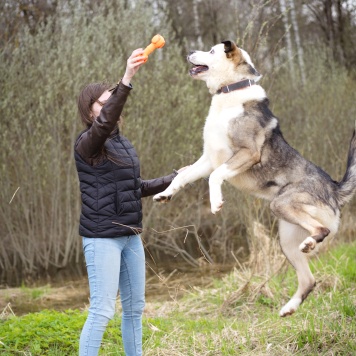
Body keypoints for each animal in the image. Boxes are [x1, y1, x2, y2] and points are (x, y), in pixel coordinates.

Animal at [154, 40, 356, 316]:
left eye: (211, 51)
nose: (189, 52)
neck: (229, 92)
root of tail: (334, 189)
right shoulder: (207, 159)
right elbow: (182, 178)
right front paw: (165, 194)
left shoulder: (246, 153)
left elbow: (215, 177)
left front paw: (216, 202)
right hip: (286, 239)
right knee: (309, 280)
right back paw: (289, 307)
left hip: (283, 204)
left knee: (321, 230)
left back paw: (310, 243)